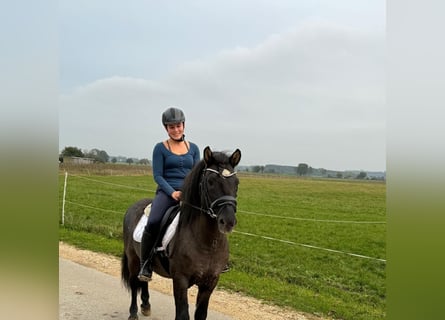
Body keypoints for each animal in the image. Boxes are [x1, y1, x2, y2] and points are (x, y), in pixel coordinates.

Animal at [120, 146, 239, 318]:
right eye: (210, 182)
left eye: (236, 182)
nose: (228, 221)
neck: (207, 243)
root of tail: (133, 206)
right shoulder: (180, 280)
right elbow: (182, 314)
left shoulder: (209, 283)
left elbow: (201, 314)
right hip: (133, 259)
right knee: (135, 283)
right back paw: (133, 312)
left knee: (143, 281)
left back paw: (146, 305)